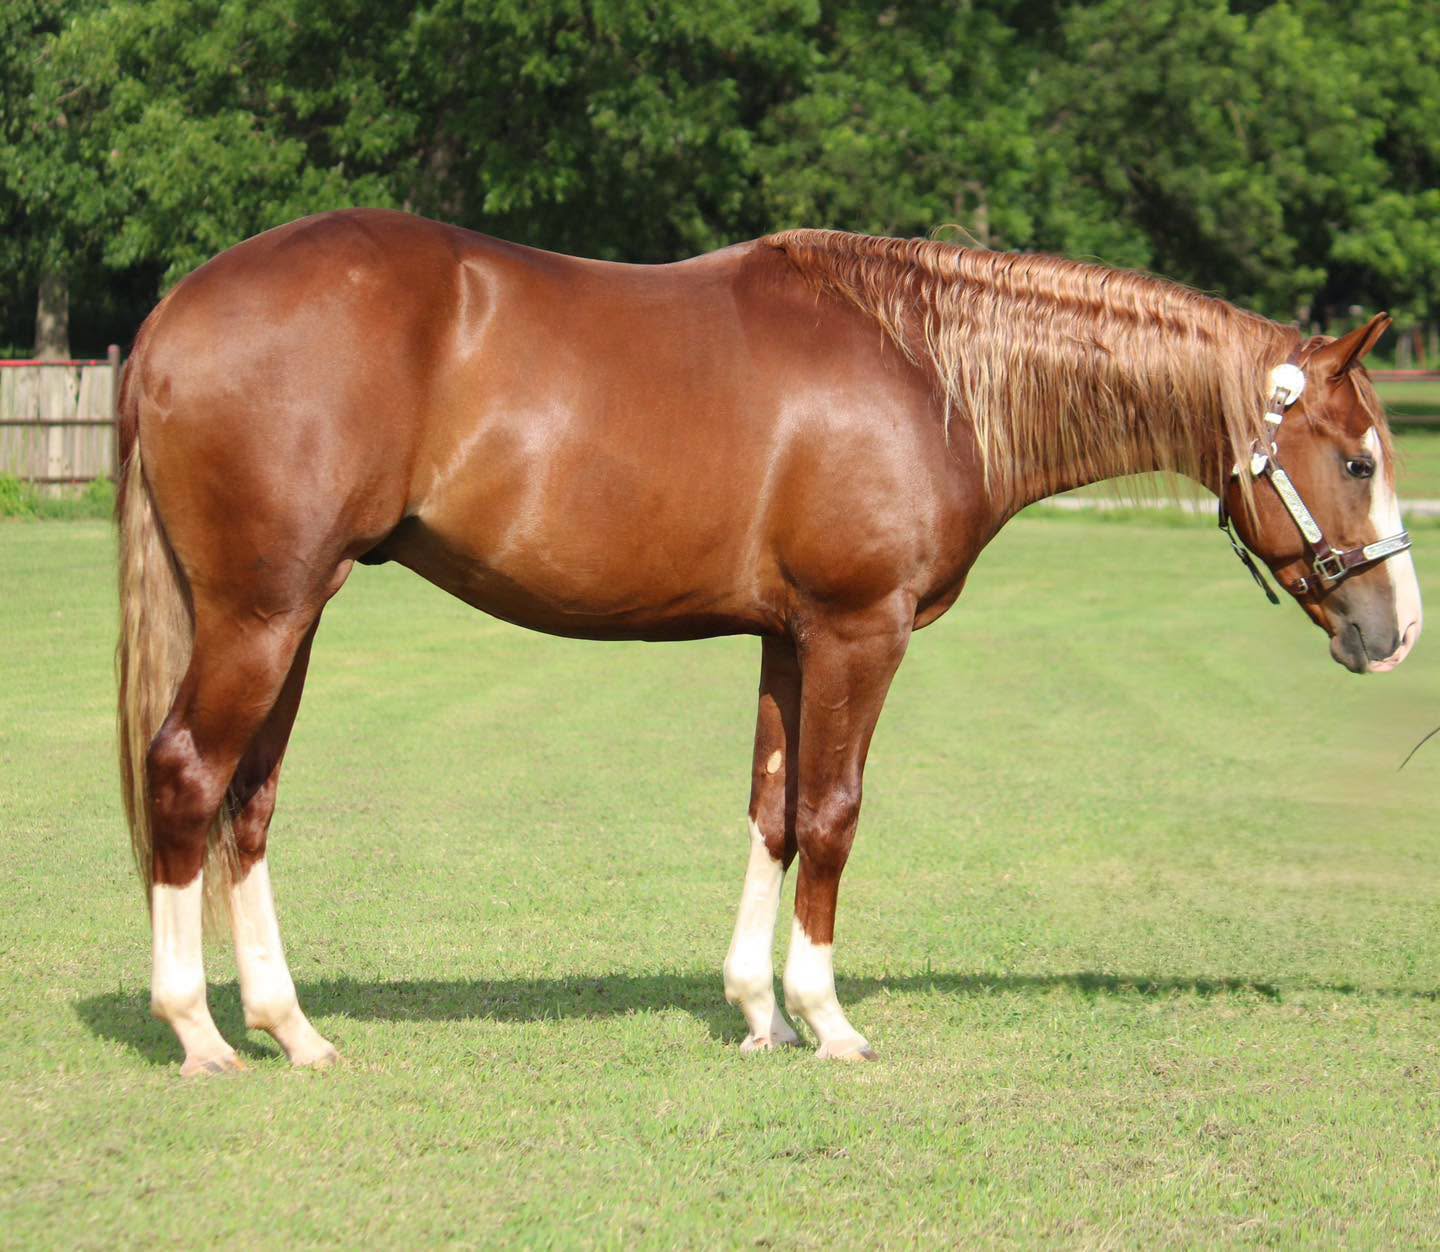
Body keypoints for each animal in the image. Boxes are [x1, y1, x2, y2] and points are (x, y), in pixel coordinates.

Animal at [114, 209, 1420, 1075]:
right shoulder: (859, 630)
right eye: (1357, 461)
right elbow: (834, 815)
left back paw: (291, 1027)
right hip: (263, 615)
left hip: (291, 616)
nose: (1396, 630)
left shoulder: (790, 640)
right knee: (187, 775)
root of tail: (176, 311)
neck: (926, 370)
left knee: (248, 802)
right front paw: (828, 1018)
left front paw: (758, 1011)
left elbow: (773, 811)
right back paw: (197, 1030)